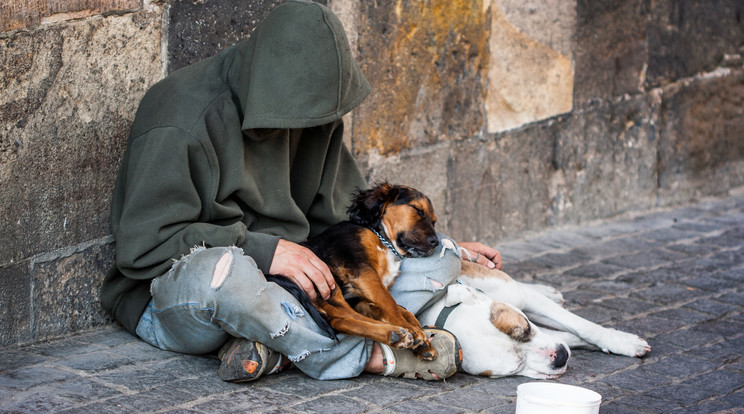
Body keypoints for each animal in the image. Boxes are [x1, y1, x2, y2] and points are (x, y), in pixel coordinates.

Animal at [270, 181, 438, 360]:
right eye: (418, 210)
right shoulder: (362, 271)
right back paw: (396, 334)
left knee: (341, 321)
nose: (436, 242)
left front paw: (418, 333)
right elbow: (390, 302)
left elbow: (403, 310)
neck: (382, 239)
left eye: (434, 221)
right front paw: (413, 330)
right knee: (343, 318)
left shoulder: (363, 293)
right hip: (324, 281)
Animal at [418, 262, 652, 378]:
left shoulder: (523, 299)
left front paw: (622, 342)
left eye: (527, 328)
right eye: (515, 368)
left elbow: (581, 325)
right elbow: (570, 335)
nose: (559, 357)